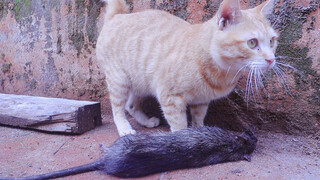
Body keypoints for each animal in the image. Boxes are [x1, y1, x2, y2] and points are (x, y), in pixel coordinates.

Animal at [97, 0, 278, 136]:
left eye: (272, 41)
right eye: (252, 43)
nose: (271, 59)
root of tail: (118, 15)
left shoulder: (201, 101)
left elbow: (198, 119)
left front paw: (200, 134)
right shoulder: (170, 97)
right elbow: (180, 125)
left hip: (141, 82)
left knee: (130, 105)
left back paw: (146, 121)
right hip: (119, 81)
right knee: (118, 109)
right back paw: (125, 128)